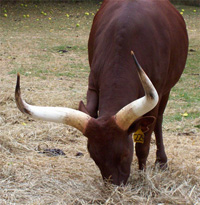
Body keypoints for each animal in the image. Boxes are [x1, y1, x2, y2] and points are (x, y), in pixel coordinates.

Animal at [15, 0, 188, 186]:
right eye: (94, 157)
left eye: (125, 154)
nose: (116, 186)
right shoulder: (93, 86)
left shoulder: (158, 91)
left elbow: (143, 144)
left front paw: (143, 174)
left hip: (167, 89)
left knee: (159, 121)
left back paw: (161, 161)